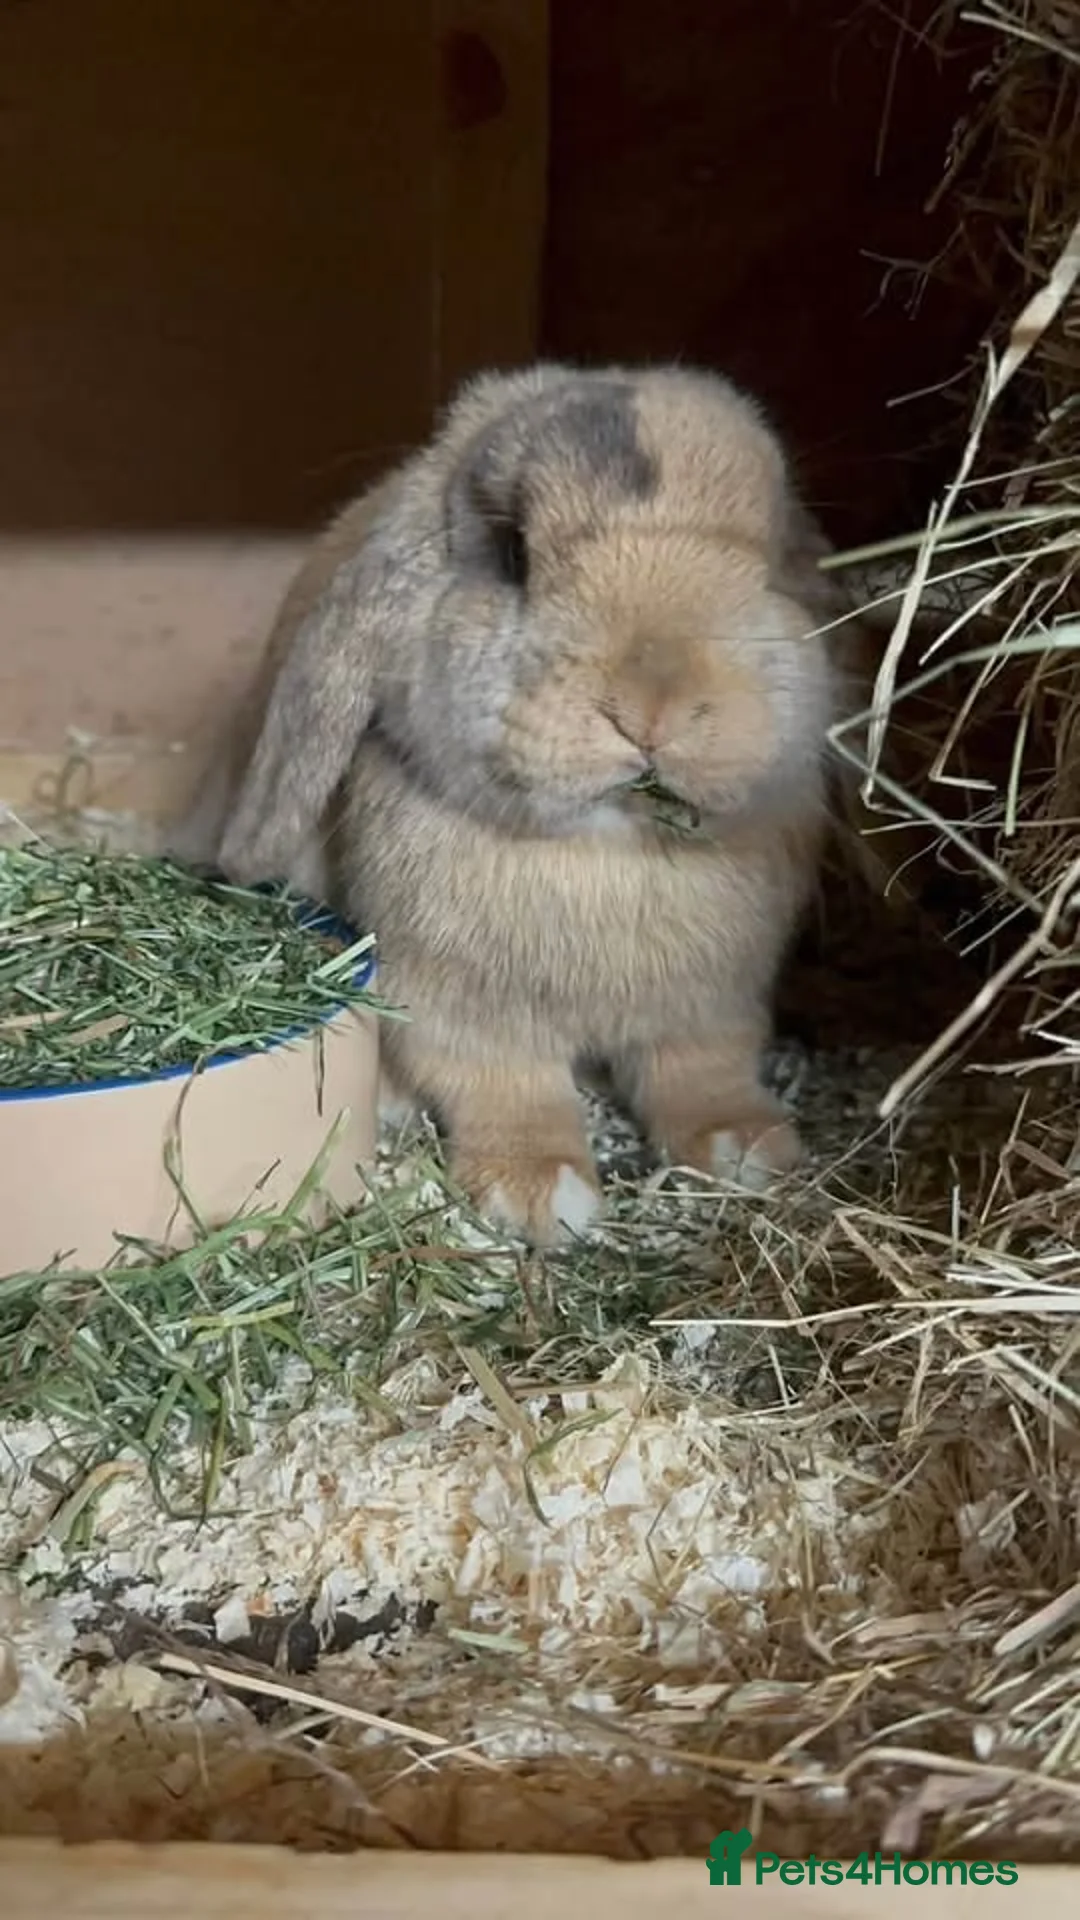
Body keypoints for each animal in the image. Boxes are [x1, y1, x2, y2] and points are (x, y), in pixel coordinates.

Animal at [213, 361, 861, 1247]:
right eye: (514, 552)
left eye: (766, 563)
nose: (651, 707)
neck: (613, 851)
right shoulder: (457, 1012)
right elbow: (507, 1087)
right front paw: (537, 1192)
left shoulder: (714, 1006)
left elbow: (703, 1071)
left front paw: (747, 1146)